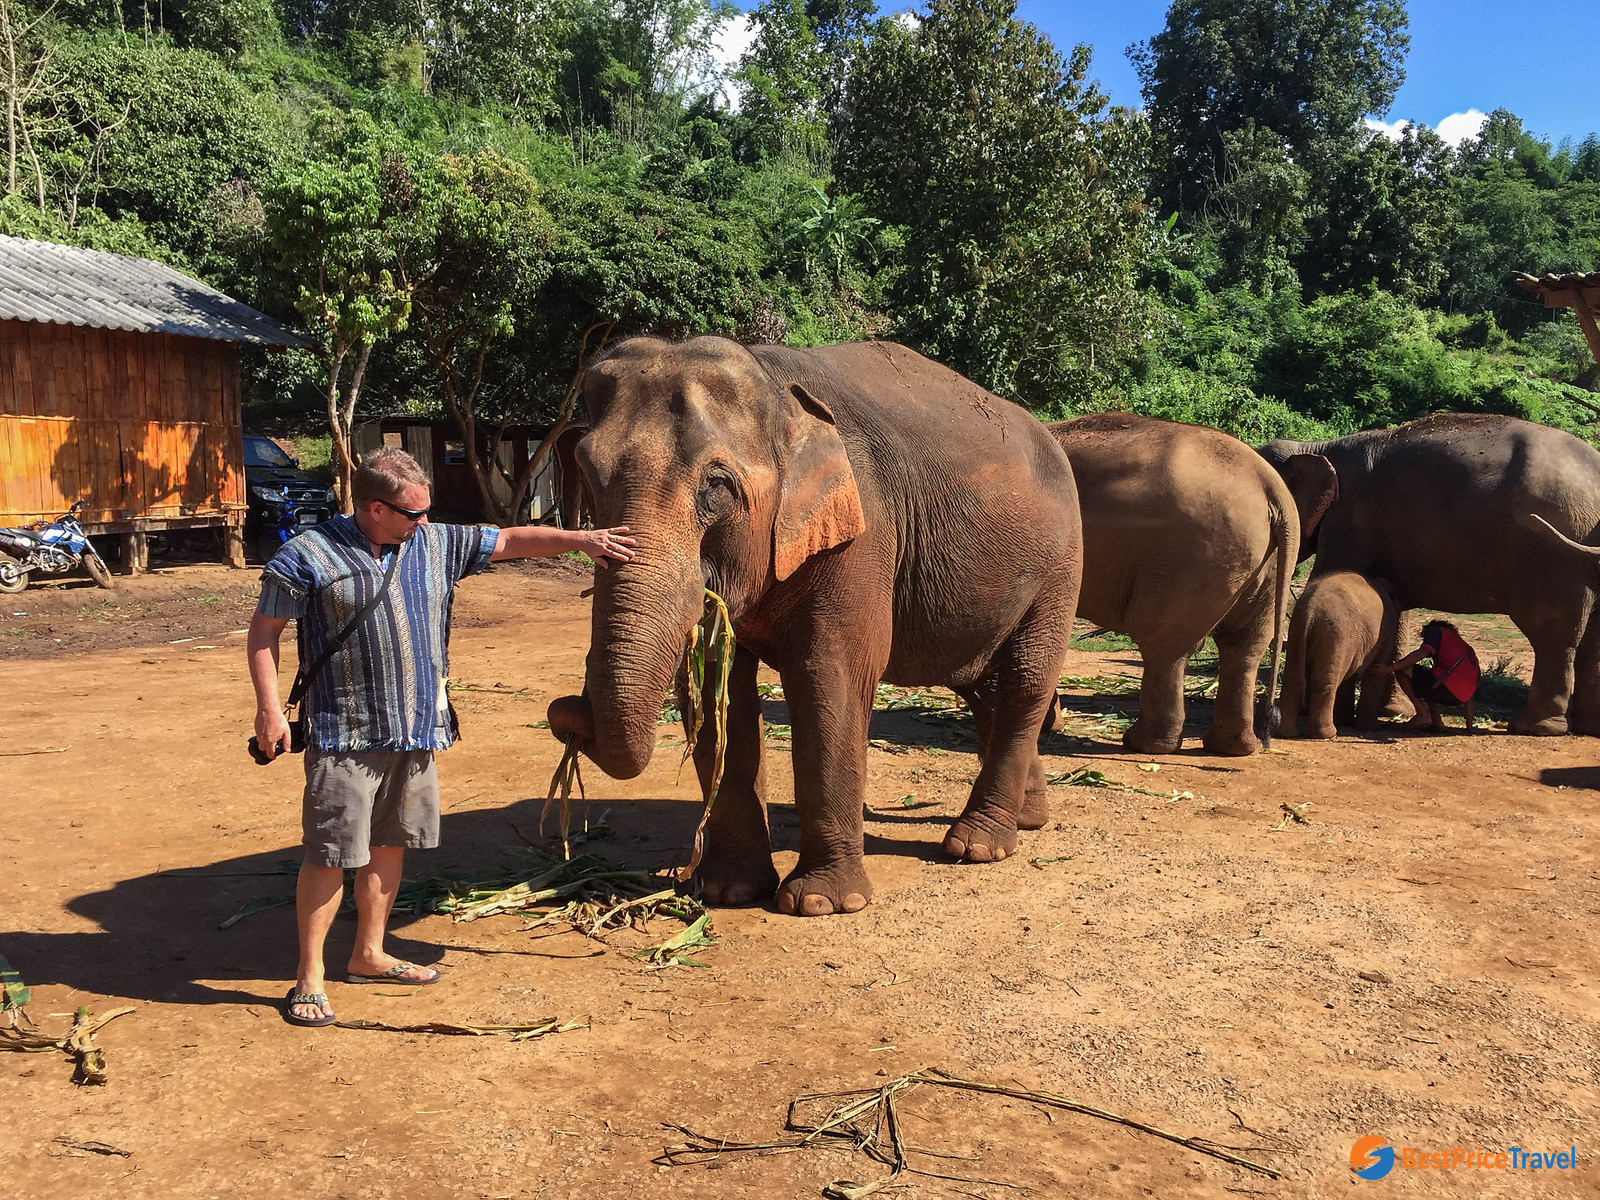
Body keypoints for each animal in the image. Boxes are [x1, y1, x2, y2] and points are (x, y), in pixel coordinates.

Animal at [547, 337, 1082, 916]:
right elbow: (719, 692)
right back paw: (1025, 819)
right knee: (984, 687)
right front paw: (728, 892)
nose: (566, 713)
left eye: (716, 486)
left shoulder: (863, 531)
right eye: (586, 473)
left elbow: (830, 676)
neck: (774, 384)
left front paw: (821, 904)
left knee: (1025, 681)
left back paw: (977, 846)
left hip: (1061, 567)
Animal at [1049, 413, 1304, 755]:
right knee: (1243, 645)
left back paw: (1143, 743)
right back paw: (1233, 746)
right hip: (1262, 562)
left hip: (1193, 556)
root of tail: (1269, 484)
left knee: (1160, 640)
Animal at [1274, 571, 1398, 739]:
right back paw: (1328, 734)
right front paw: (1373, 728)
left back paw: (1288, 733)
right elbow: (1376, 670)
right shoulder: (1387, 630)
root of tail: (1310, 612)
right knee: (1327, 681)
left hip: (1297, 630)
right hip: (1336, 634)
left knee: (1293, 679)